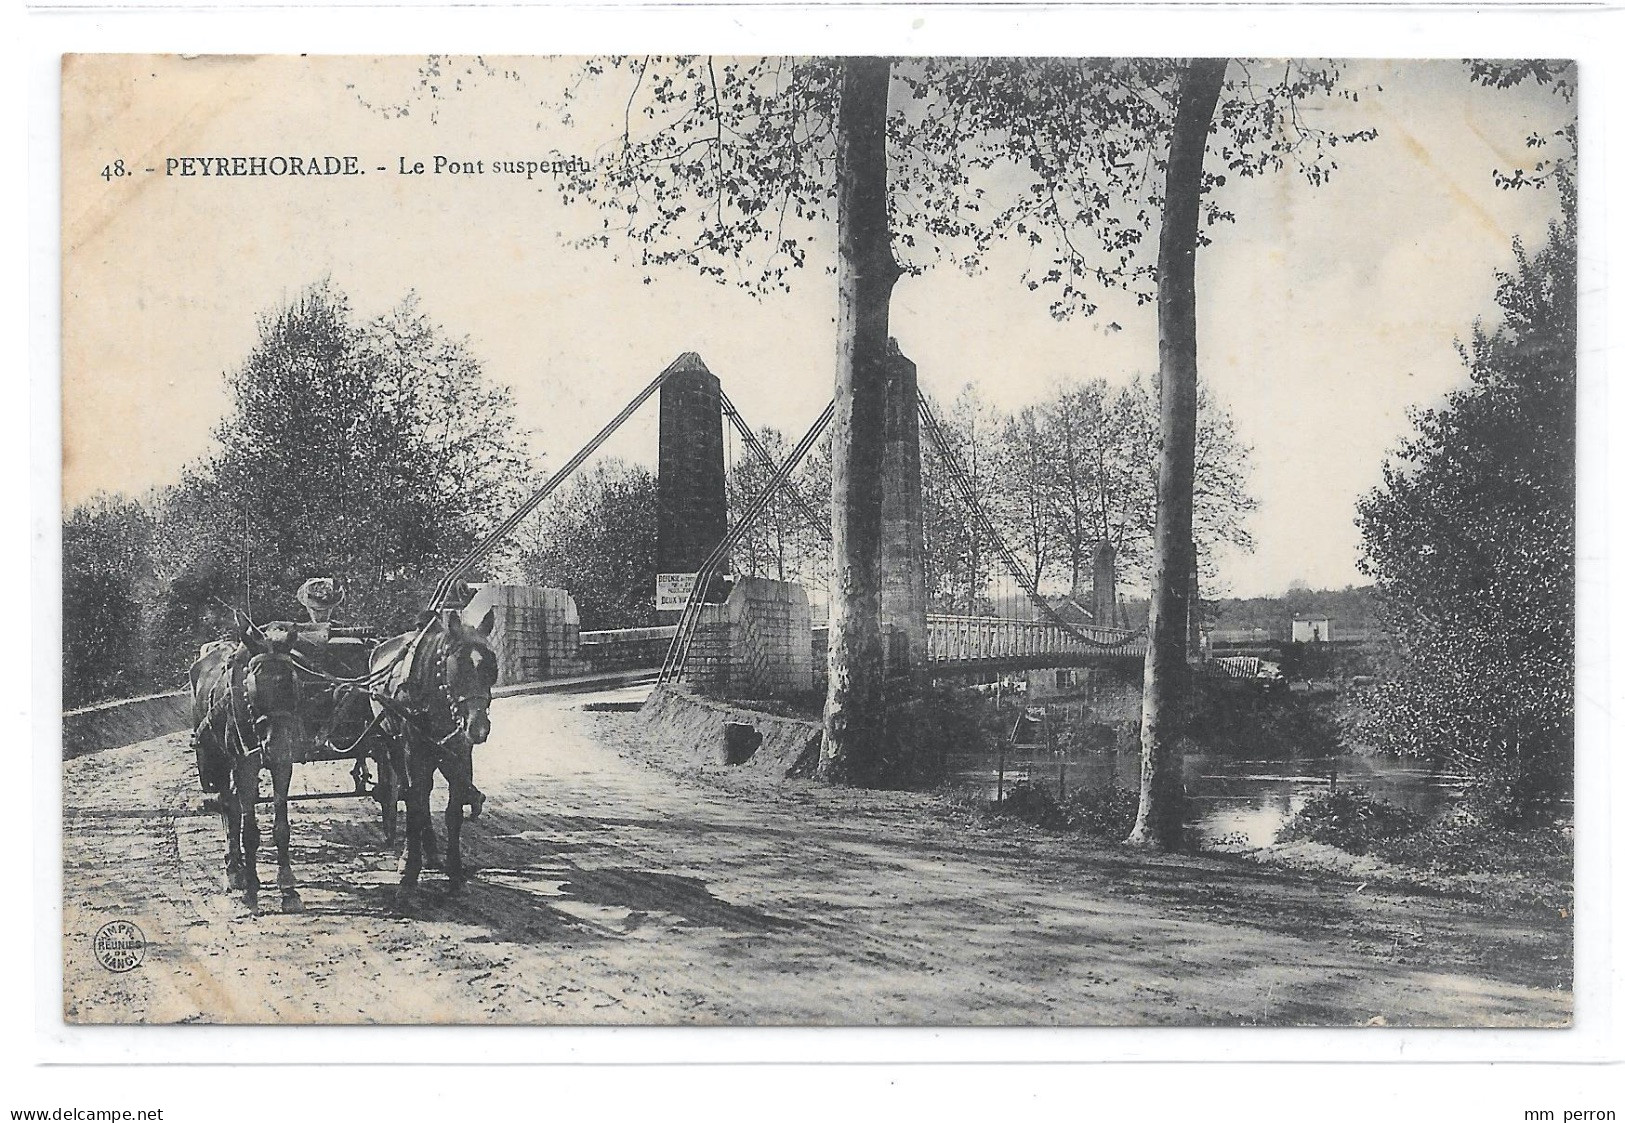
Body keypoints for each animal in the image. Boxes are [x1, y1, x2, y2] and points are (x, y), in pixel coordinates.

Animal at [188, 614, 315, 916]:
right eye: (253, 687)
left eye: (293, 682)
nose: (276, 746)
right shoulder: (245, 765)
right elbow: (249, 832)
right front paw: (251, 890)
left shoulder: (283, 766)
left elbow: (281, 828)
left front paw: (288, 889)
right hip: (220, 761)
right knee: (228, 807)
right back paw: (235, 870)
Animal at [368, 607, 494, 897]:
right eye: (456, 667)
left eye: (490, 668)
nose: (479, 728)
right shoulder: (413, 751)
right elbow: (416, 802)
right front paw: (408, 872)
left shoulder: (460, 752)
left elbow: (453, 812)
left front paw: (455, 873)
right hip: (394, 746)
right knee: (409, 793)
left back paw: (433, 852)